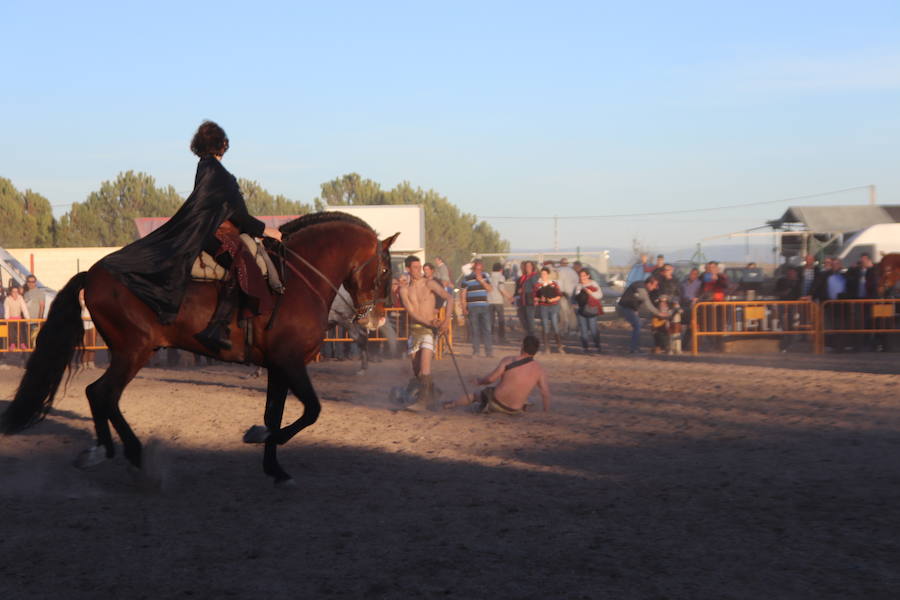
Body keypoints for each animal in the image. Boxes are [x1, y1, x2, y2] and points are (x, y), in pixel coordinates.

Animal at [0, 213, 398, 486]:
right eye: (383, 270)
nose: (377, 319)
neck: (296, 282)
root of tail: (93, 274)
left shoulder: (277, 366)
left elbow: (275, 414)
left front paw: (273, 466)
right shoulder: (290, 362)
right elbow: (311, 411)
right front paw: (265, 443)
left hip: (130, 352)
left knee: (99, 395)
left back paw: (109, 450)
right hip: (134, 351)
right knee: (102, 393)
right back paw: (131, 455)